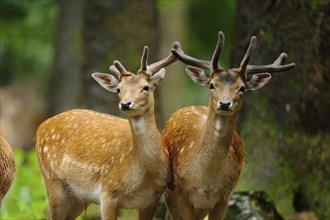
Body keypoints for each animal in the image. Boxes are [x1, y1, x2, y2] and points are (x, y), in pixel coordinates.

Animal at [35, 45, 178, 220]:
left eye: (146, 87)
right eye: (118, 89)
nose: (125, 104)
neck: (145, 175)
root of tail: (41, 126)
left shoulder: (151, 200)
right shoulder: (107, 192)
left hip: (75, 196)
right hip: (52, 180)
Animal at [163, 31, 296, 220]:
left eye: (242, 88)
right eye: (212, 85)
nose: (225, 103)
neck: (206, 180)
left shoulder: (224, 196)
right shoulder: (183, 192)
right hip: (170, 193)